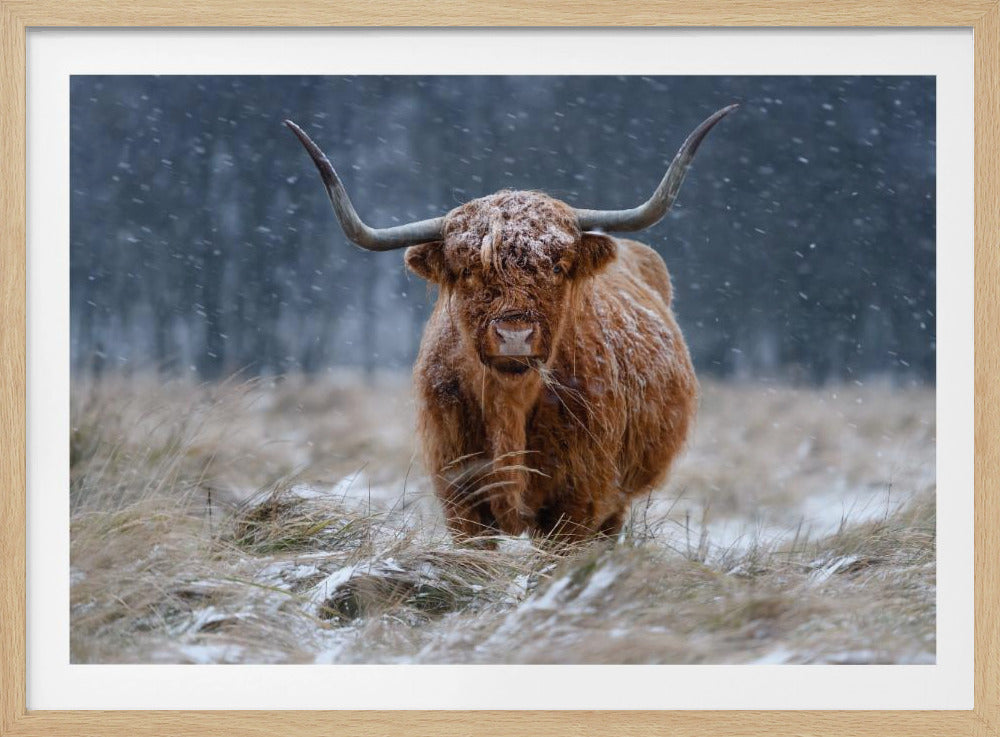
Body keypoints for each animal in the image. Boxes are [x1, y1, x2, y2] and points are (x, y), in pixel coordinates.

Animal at [286, 104, 737, 542]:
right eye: (469, 270)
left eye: (556, 267)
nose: (514, 335)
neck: (510, 406)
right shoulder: (460, 498)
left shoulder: (579, 501)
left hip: (616, 501)